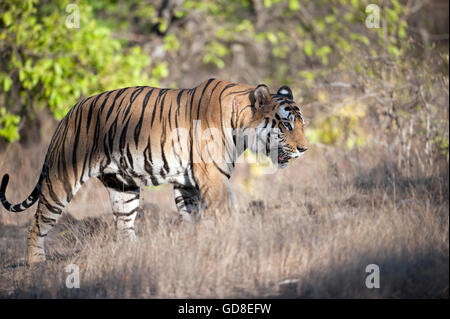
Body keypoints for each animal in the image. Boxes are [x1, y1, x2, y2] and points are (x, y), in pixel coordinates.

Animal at [0, 79, 308, 264]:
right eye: (286, 125)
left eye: (301, 124)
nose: (304, 149)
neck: (240, 125)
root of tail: (68, 113)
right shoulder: (211, 176)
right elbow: (225, 210)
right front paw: (236, 241)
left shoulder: (188, 183)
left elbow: (193, 217)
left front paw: (196, 245)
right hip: (62, 179)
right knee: (38, 222)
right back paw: (36, 263)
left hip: (123, 187)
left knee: (124, 225)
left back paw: (134, 256)